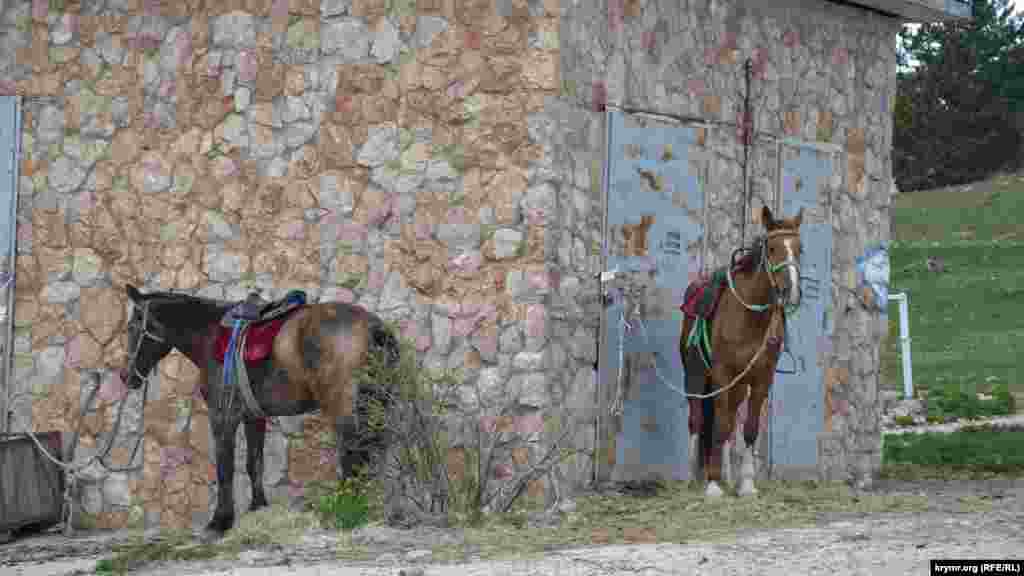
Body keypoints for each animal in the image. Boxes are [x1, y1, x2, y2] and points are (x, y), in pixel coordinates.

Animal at [119, 284, 399, 532]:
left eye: (132, 327)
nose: (125, 376)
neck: (209, 335)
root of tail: (373, 327)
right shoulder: (253, 417)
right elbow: (254, 463)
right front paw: (258, 507)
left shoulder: (223, 416)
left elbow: (225, 468)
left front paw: (220, 521)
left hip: (344, 408)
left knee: (354, 455)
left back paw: (347, 507)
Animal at [679, 206, 798, 498]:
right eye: (772, 249)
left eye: (800, 249)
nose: (790, 291)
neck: (749, 317)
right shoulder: (722, 374)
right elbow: (719, 425)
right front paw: (712, 485)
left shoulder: (761, 379)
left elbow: (749, 428)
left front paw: (746, 484)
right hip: (696, 375)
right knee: (697, 418)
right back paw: (693, 477)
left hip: (738, 386)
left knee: (730, 422)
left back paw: (728, 477)